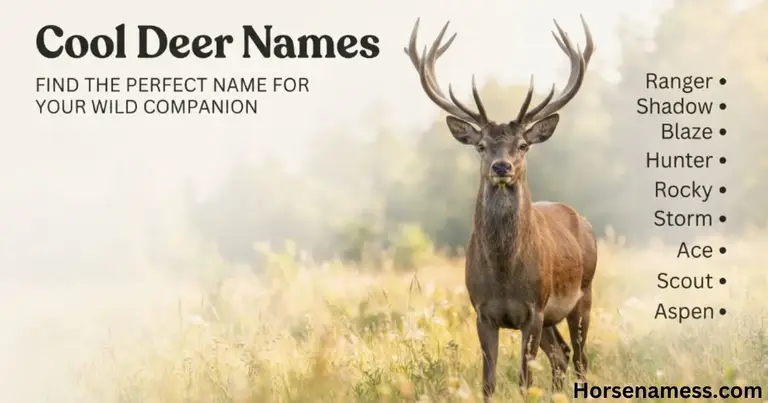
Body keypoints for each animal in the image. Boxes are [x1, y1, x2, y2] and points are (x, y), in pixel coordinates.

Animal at [403, 15, 598, 400]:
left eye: (523, 145)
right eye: (480, 146)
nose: (502, 166)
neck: (505, 274)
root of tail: (583, 221)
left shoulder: (534, 309)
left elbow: (524, 380)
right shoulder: (482, 312)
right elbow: (488, 382)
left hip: (584, 292)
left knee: (581, 358)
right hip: (553, 315)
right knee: (562, 355)